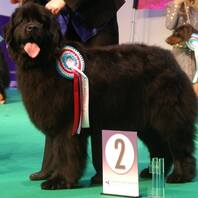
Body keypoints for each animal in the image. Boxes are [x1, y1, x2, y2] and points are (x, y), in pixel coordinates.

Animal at [3, 2, 197, 189]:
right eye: (22, 21)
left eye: (42, 22)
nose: (32, 28)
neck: (46, 62)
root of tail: (170, 59)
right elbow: (57, 151)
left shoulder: (68, 124)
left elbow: (65, 153)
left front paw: (60, 180)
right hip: (145, 121)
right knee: (160, 146)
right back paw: (151, 172)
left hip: (168, 115)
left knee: (179, 145)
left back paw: (181, 175)